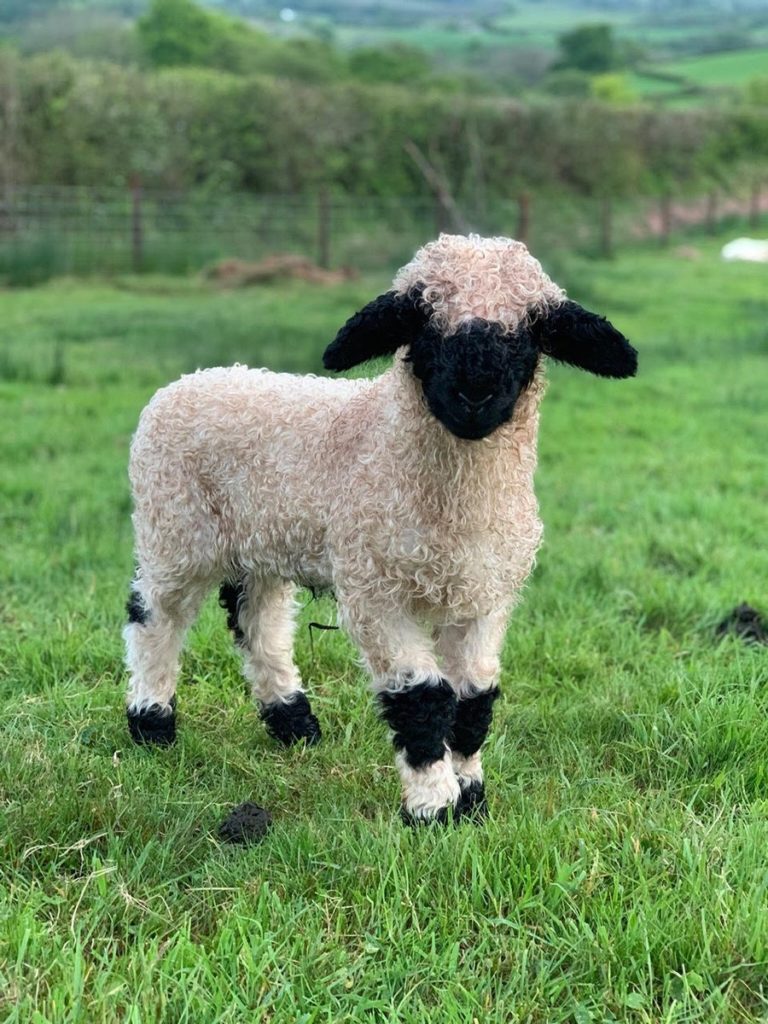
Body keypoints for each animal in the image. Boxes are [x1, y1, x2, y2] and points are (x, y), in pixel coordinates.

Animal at [124, 232, 638, 823]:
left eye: (531, 331)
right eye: (423, 323)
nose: (475, 394)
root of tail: (189, 380)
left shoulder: (486, 596)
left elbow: (474, 700)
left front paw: (471, 796)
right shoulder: (376, 592)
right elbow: (422, 699)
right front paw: (433, 808)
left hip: (263, 538)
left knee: (260, 621)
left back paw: (293, 723)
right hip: (173, 526)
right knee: (155, 617)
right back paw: (151, 724)